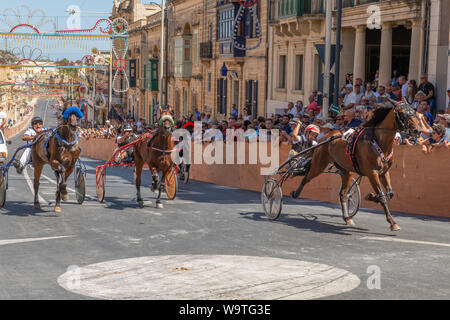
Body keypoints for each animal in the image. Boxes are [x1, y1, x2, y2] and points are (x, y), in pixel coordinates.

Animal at [292, 101, 426, 231]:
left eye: (414, 112)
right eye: (402, 113)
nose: (417, 131)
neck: (378, 142)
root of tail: (324, 138)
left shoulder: (384, 172)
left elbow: (390, 193)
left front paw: (372, 196)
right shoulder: (372, 173)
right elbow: (383, 196)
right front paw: (392, 223)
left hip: (346, 171)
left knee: (343, 194)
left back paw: (347, 218)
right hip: (319, 164)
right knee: (307, 178)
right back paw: (295, 193)